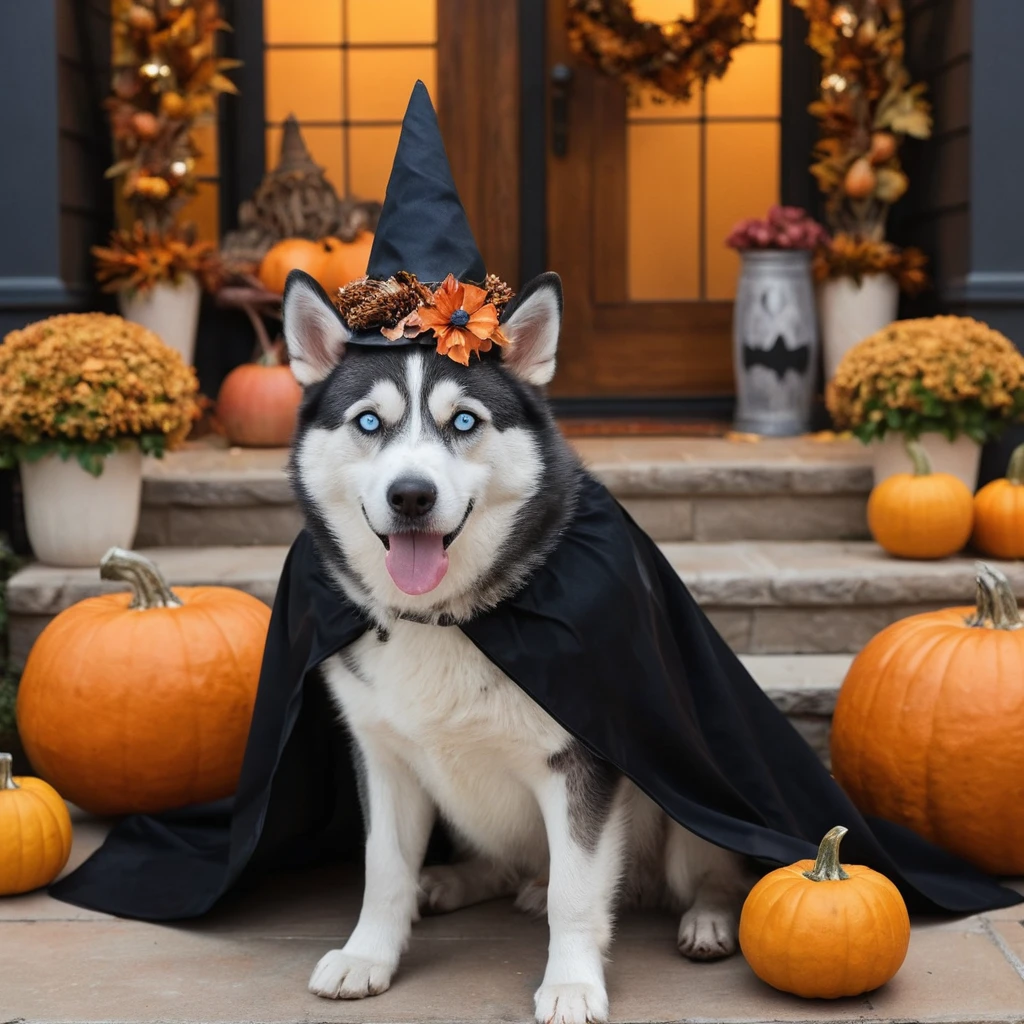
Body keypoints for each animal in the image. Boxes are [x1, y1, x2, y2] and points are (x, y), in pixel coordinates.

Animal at [280, 270, 753, 1024]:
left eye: (464, 422)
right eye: (369, 423)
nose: (410, 496)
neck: (443, 620)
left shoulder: (582, 759)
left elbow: (575, 893)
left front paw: (572, 985)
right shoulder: (383, 758)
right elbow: (384, 870)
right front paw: (368, 955)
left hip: (684, 799)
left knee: (706, 873)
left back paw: (707, 919)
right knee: (504, 865)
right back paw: (453, 882)